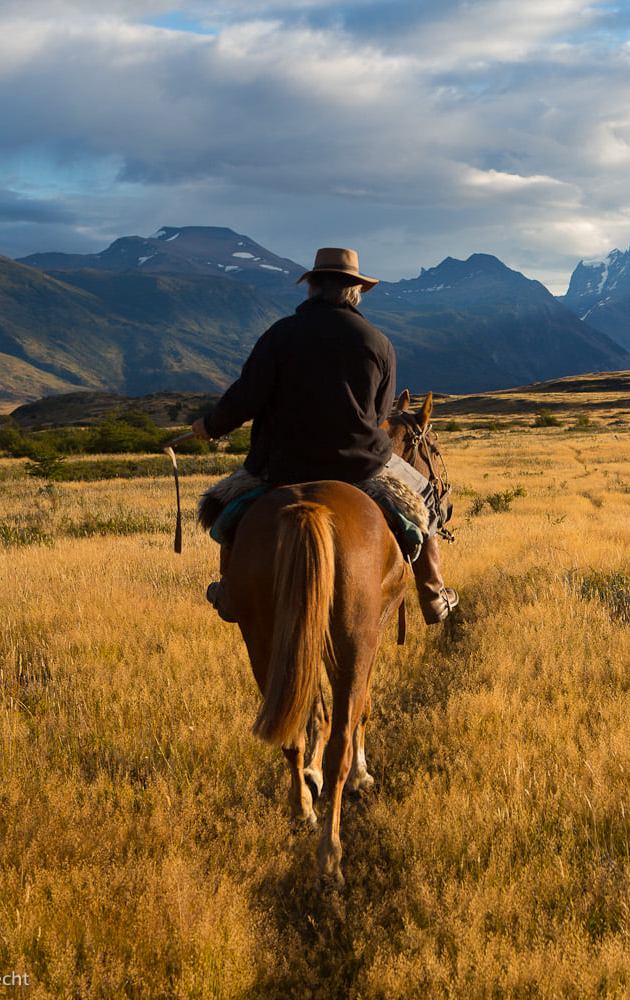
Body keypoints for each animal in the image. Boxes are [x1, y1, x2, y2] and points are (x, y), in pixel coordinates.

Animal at [226, 390, 440, 884]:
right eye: (433, 448)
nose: (439, 488)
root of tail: (309, 509)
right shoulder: (371, 634)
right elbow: (361, 709)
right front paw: (360, 775)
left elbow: (316, 711)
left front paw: (311, 776)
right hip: (353, 636)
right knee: (342, 735)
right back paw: (331, 852)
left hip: (262, 636)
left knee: (288, 729)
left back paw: (303, 809)